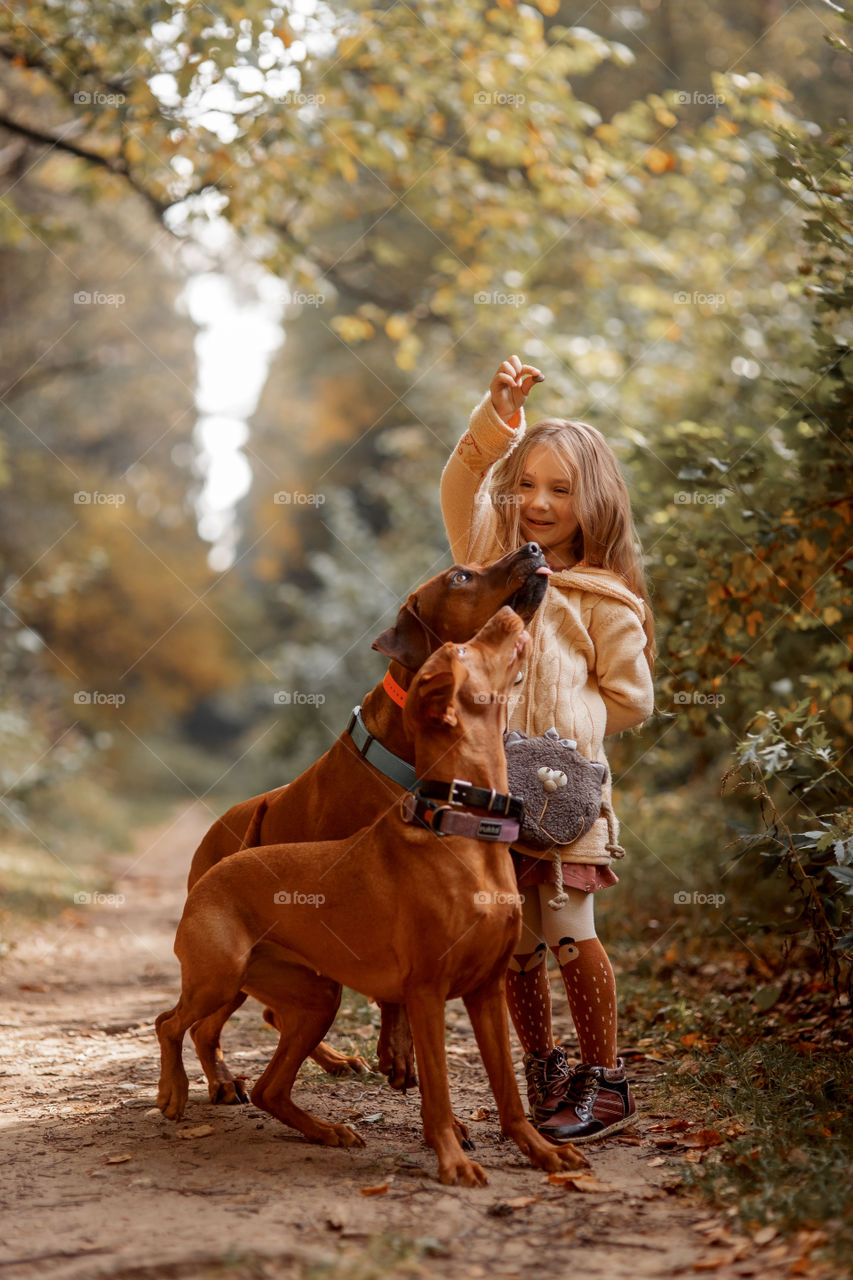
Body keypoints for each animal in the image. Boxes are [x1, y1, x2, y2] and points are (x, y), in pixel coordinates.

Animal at [156, 609, 584, 1187]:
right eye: (463, 650)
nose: (508, 613)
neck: (467, 828)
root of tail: (215, 870)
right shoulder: (426, 994)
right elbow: (437, 1091)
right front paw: (453, 1159)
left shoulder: (487, 991)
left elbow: (509, 1093)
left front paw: (541, 1151)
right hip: (218, 977)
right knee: (170, 1024)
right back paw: (175, 1092)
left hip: (314, 997)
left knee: (268, 1087)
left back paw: (324, 1130)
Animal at [183, 542, 548, 1100]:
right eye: (460, 577)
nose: (532, 546)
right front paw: (397, 1050)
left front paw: (396, 1049)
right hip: (234, 955)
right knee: (208, 1024)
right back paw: (222, 1080)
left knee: (276, 1014)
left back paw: (331, 1060)